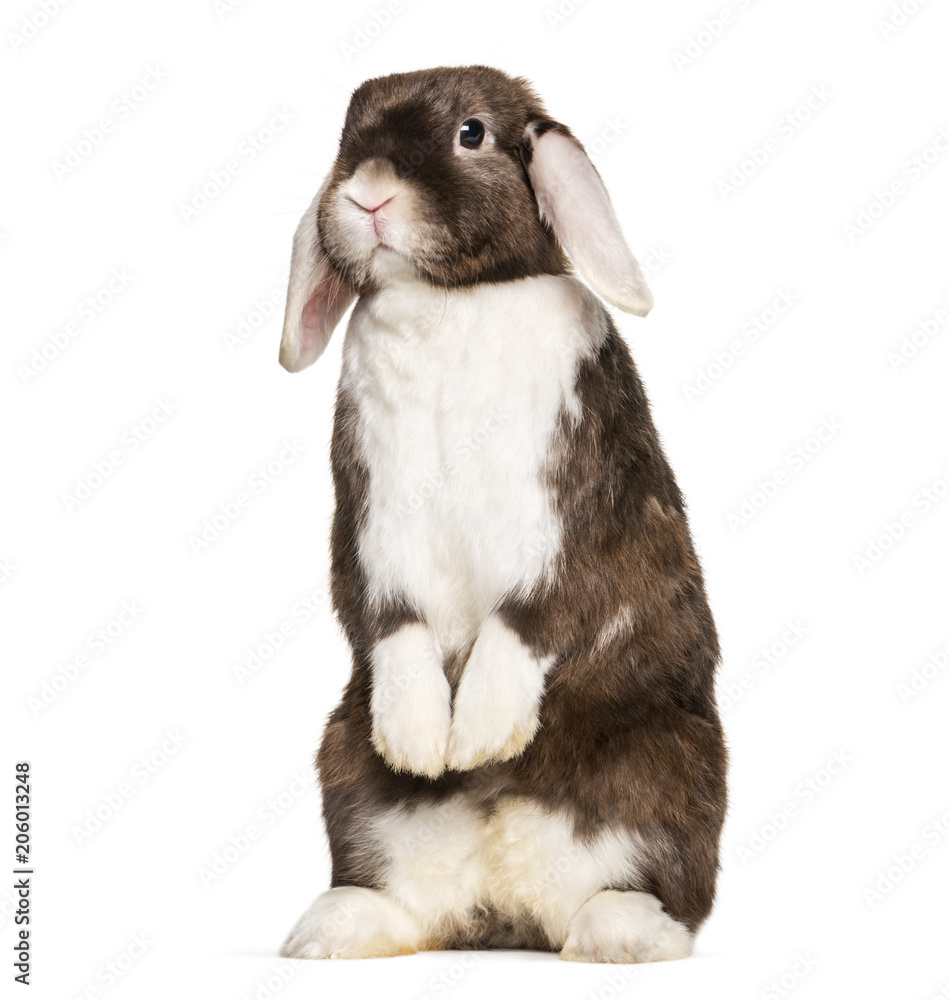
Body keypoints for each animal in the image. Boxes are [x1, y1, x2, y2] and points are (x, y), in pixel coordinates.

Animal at [276, 65, 727, 963]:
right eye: (347, 135)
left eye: (472, 133)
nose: (367, 193)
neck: (455, 299)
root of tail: (509, 908)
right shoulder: (375, 531)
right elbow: (394, 623)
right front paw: (420, 743)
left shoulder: (569, 522)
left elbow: (533, 616)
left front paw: (479, 736)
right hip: (345, 765)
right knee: (406, 901)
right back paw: (332, 929)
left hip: (669, 765)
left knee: (648, 891)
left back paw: (624, 935)